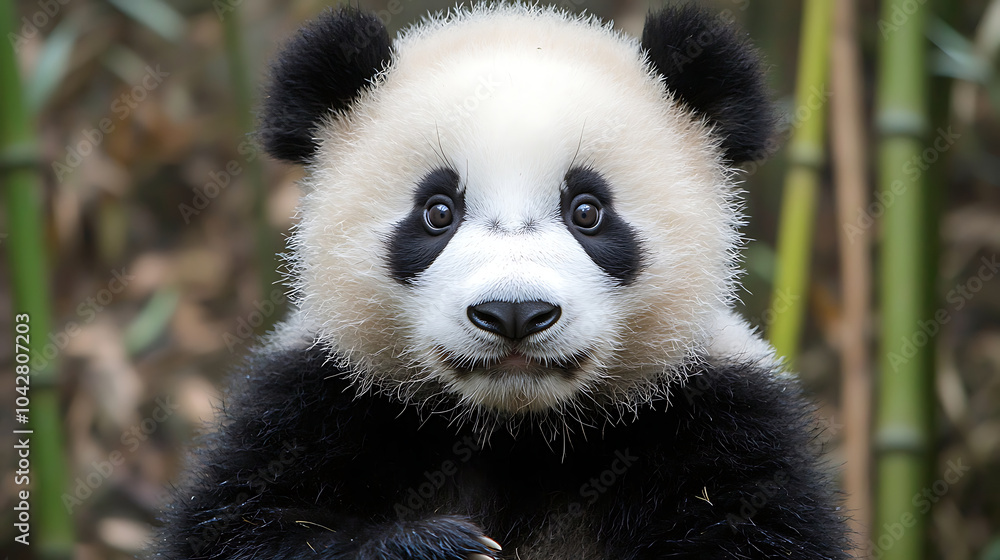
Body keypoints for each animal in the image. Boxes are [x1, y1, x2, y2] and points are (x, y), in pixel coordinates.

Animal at [154, 4, 849, 560]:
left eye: (588, 211)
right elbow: (243, 526)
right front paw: (436, 547)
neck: (519, 434)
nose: (515, 312)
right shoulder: (310, 406)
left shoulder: (724, 420)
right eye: (437, 212)